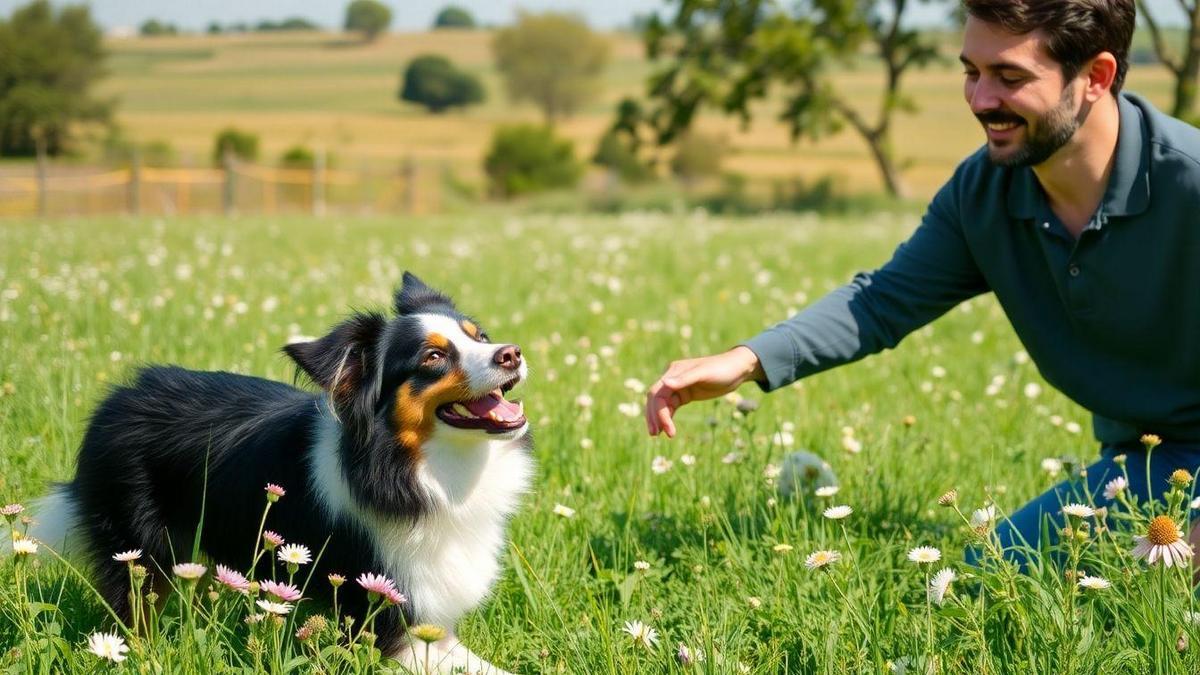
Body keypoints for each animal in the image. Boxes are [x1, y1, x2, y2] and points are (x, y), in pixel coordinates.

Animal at [32, 270, 532, 667]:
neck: (415, 466)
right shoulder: (385, 615)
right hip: (138, 549)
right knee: (134, 611)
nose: (512, 353)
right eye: (433, 358)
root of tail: (118, 398)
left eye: (479, 337)